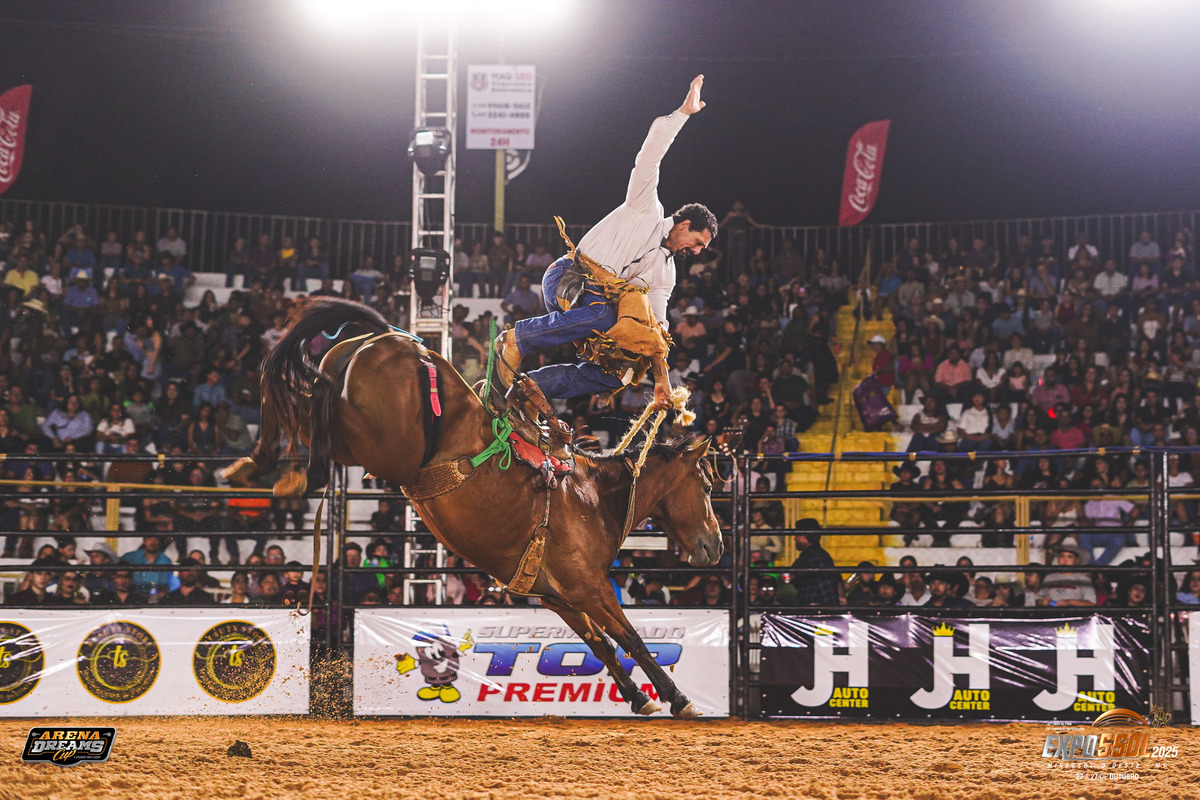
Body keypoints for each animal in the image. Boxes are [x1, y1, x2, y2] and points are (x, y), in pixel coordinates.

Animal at [225, 297, 724, 717]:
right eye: (705, 484)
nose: (715, 546)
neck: (592, 495)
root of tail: (396, 340)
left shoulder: (557, 597)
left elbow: (600, 645)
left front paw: (639, 697)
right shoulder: (591, 588)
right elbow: (631, 639)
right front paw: (678, 699)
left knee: (303, 394)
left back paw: (255, 462)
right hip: (383, 447)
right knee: (317, 407)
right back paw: (292, 471)